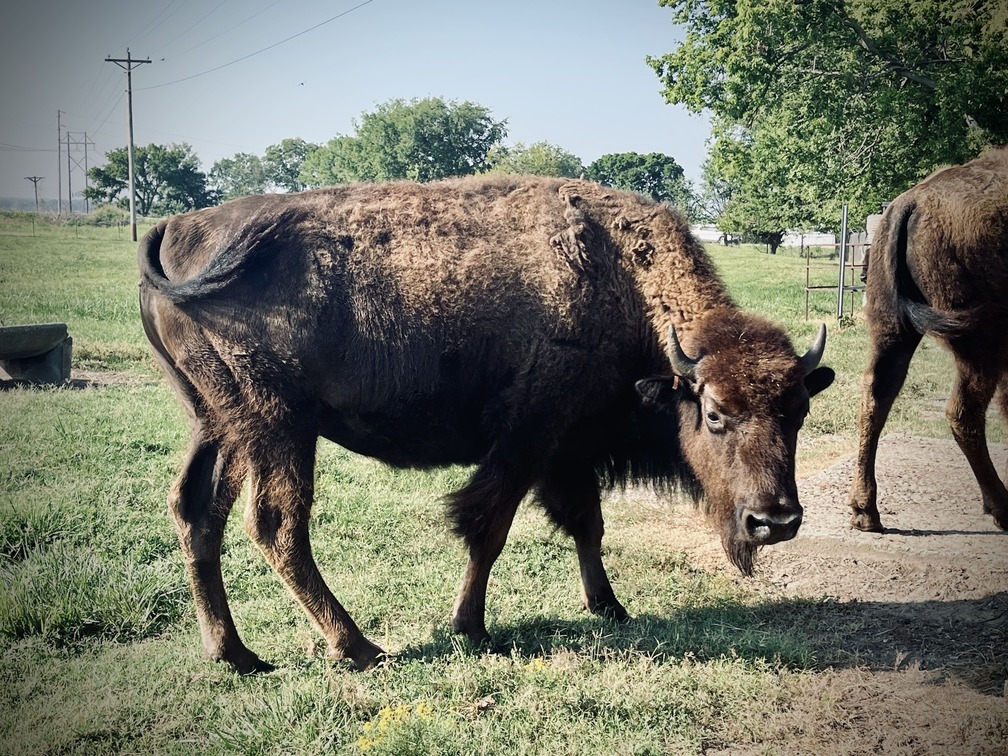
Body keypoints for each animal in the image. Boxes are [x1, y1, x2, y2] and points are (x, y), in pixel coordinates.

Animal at [140, 174, 834, 673]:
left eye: (798, 411)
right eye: (714, 414)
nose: (775, 521)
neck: (619, 277)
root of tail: (177, 227)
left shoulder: (567, 448)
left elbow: (587, 525)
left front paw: (610, 607)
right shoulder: (527, 440)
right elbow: (488, 527)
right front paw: (469, 626)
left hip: (218, 423)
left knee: (196, 510)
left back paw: (236, 655)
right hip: (279, 427)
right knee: (277, 526)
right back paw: (359, 648)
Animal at [850, 148, 1008, 536]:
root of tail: (913, 200)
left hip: (890, 327)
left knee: (875, 395)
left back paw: (865, 513)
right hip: (981, 340)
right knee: (963, 413)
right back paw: (1004, 509)